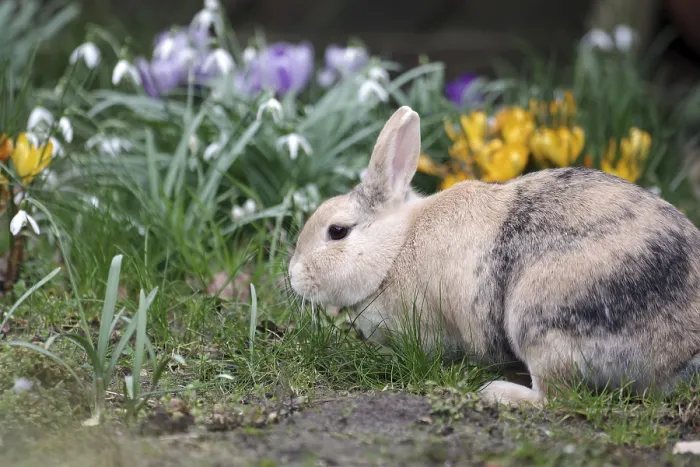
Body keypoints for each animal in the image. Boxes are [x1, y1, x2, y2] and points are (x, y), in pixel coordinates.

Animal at [288, 105, 700, 406]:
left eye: (337, 231)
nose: (292, 275)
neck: (396, 247)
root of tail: (679, 355)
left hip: (538, 320)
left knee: (556, 397)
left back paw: (497, 393)